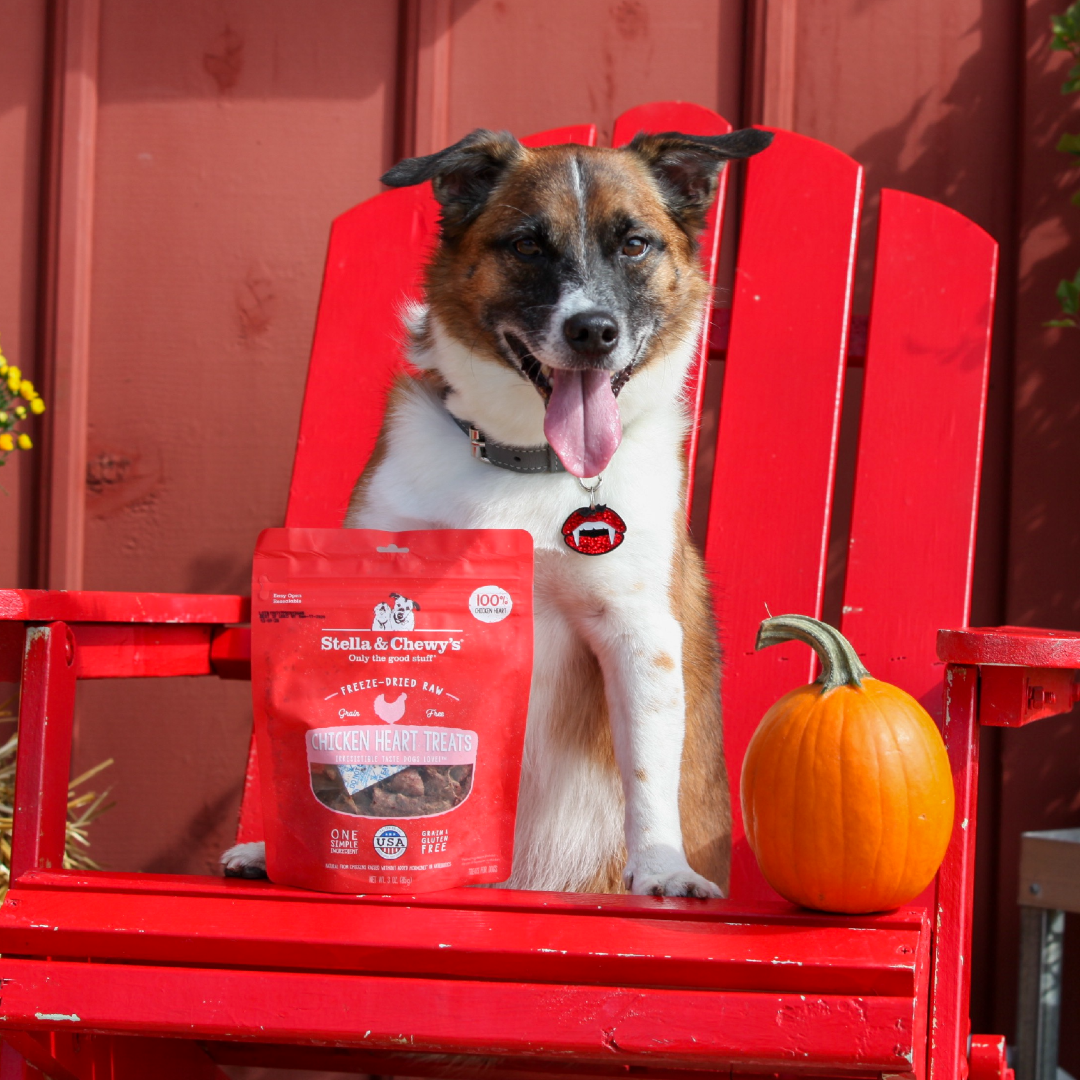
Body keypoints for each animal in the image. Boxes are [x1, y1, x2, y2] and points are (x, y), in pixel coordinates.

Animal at [223, 124, 773, 894]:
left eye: (635, 244)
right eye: (527, 245)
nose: (593, 331)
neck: (527, 461)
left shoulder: (639, 633)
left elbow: (646, 772)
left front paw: (663, 868)